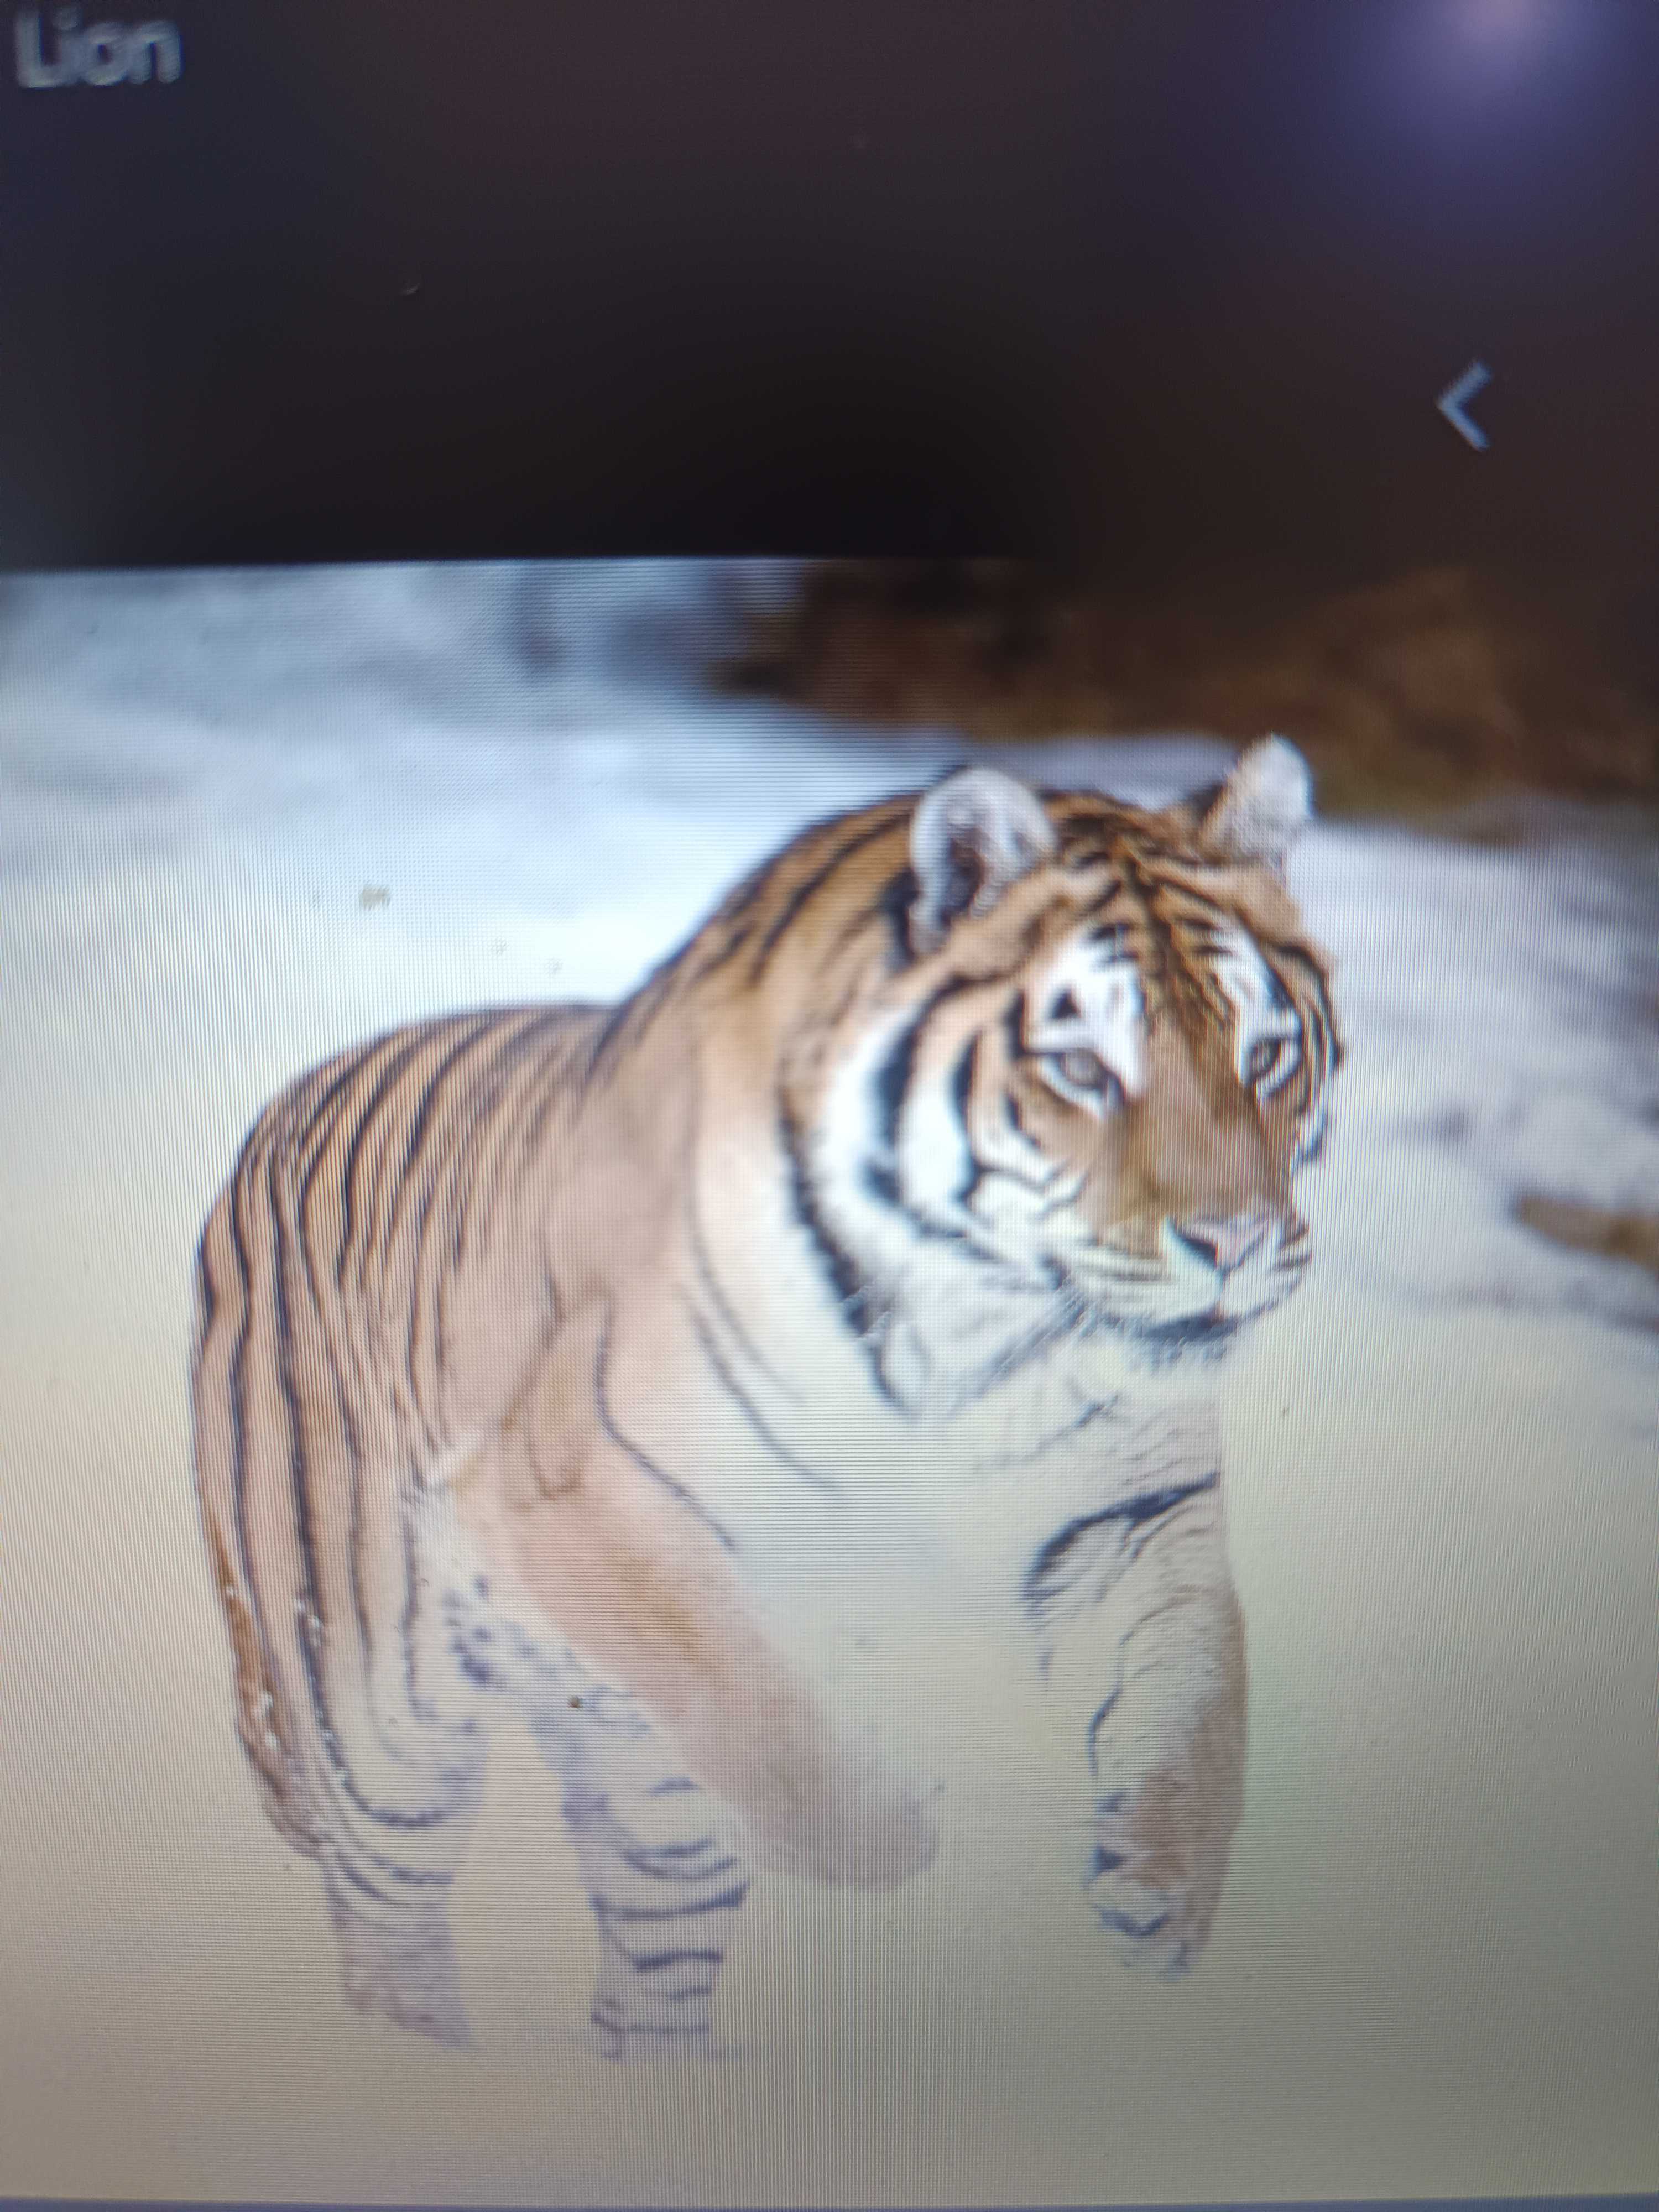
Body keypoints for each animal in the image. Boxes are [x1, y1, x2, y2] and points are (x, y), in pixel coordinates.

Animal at [192, 734, 1339, 2059]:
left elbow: (1199, 1693)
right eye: (1081, 1069)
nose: (1236, 1244)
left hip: (629, 1797)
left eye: (1266, 1054)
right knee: (390, 1925)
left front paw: (1164, 1885)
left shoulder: (1138, 1509)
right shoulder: (579, 1489)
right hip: (374, 1722)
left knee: (650, 1964)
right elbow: (754, 1700)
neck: (982, 1326)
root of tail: (275, 1112)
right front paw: (899, 1832)